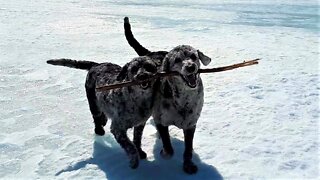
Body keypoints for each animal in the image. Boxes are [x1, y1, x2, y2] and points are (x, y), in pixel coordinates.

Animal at [124, 17, 211, 174]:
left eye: (194, 56)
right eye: (177, 60)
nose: (191, 67)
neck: (183, 100)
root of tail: (151, 53)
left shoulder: (190, 124)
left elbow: (188, 149)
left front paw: (188, 165)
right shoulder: (160, 120)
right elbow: (168, 147)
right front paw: (164, 153)